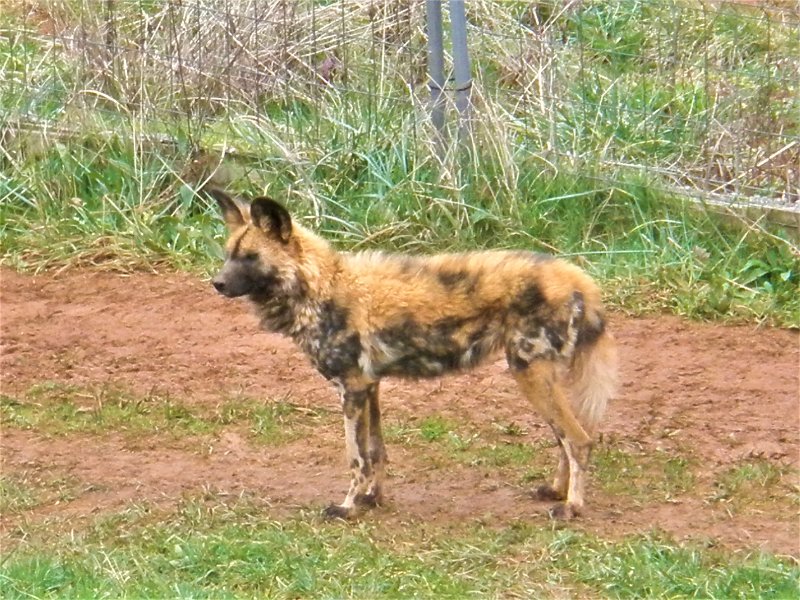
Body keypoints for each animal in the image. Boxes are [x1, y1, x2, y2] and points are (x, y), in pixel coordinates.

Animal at [208, 189, 620, 520]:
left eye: (251, 257)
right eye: (228, 255)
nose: (217, 283)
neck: (320, 288)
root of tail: (578, 278)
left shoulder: (351, 389)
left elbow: (355, 457)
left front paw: (347, 508)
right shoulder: (369, 387)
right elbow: (375, 451)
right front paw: (373, 499)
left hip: (529, 373)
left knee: (578, 440)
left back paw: (571, 507)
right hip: (538, 376)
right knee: (566, 439)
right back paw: (556, 491)